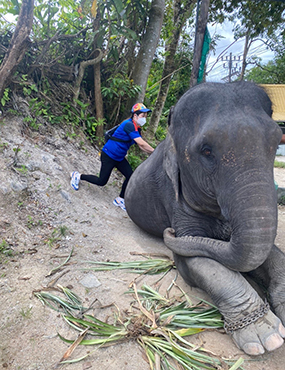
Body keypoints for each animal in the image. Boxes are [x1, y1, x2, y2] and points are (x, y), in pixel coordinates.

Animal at [125, 81, 285, 356]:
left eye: (277, 142)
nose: (169, 232)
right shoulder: (173, 197)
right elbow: (196, 258)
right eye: (206, 151)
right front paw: (265, 336)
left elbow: (268, 253)